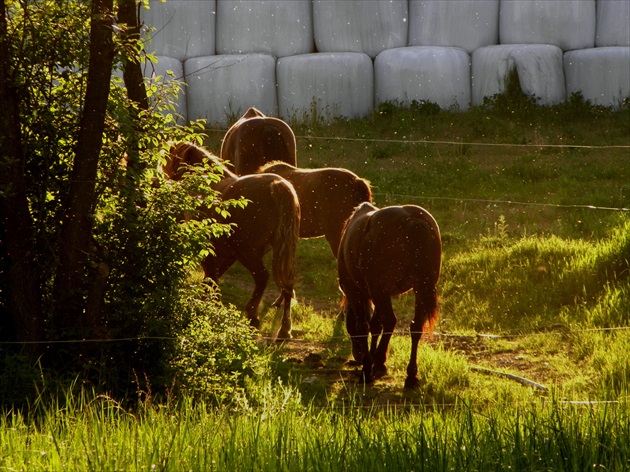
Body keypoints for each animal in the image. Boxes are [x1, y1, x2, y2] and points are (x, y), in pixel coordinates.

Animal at [163, 142, 302, 338]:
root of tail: (278, 186)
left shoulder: (208, 250)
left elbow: (211, 278)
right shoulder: (228, 255)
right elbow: (211, 279)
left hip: (248, 253)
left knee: (262, 277)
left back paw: (253, 315)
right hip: (280, 252)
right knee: (287, 286)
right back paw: (284, 329)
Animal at [336, 201, 444, 390]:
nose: (357, 355)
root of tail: (412, 219)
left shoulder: (356, 291)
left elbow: (364, 326)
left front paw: (370, 364)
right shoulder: (379, 294)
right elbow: (375, 325)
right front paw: (374, 359)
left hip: (382, 292)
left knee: (390, 321)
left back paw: (373, 366)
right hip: (419, 289)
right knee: (415, 326)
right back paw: (410, 375)